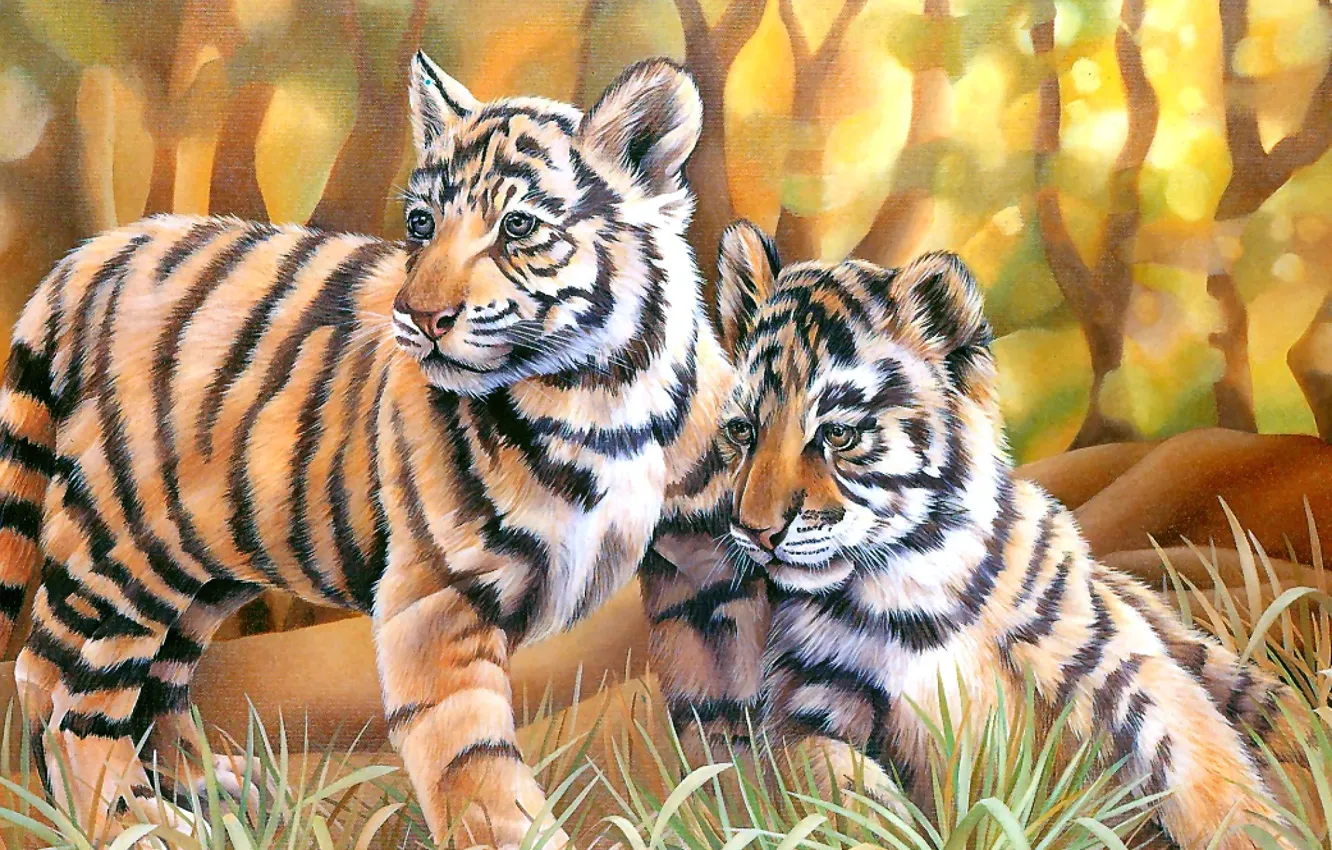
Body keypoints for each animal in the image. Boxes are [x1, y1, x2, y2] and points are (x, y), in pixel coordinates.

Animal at [0, 53, 761, 849]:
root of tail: (90, 257)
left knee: (159, 678)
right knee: (60, 682)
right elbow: (479, 768)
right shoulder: (438, 600)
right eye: (421, 224)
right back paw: (130, 824)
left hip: (208, 555)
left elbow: (735, 696)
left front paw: (758, 801)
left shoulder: (711, 556)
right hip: (121, 548)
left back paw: (215, 798)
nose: (420, 317)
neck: (601, 393)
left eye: (518, 226)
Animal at [707, 220, 1313, 850]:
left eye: (839, 435)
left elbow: (1207, 770)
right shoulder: (805, 713)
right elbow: (847, 795)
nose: (755, 531)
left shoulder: (1115, 662)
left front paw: (1259, 834)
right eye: (742, 431)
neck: (910, 583)